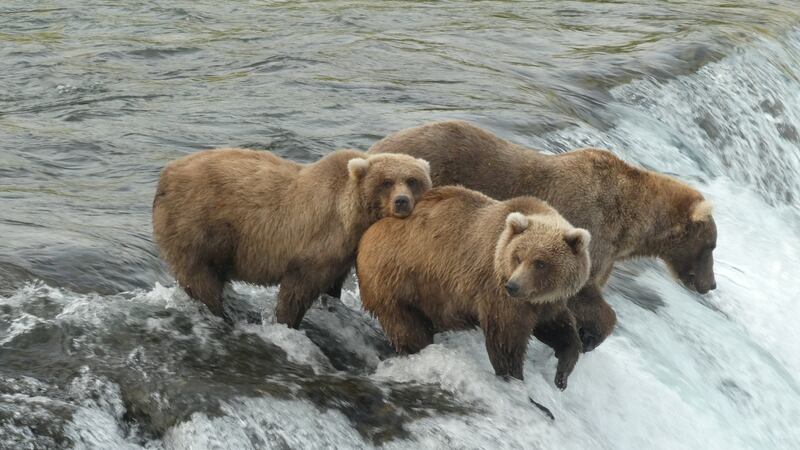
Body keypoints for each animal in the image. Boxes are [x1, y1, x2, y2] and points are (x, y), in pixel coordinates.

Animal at [154, 148, 434, 326]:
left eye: (412, 180)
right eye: (387, 182)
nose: (401, 201)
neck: (352, 217)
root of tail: (166, 174)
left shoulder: (342, 252)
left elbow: (332, 284)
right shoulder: (316, 242)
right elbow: (298, 288)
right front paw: (287, 321)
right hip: (198, 224)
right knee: (200, 276)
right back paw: (220, 312)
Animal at [360, 185, 592, 388]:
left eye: (540, 263)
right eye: (518, 257)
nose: (513, 286)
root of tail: (369, 233)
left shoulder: (545, 302)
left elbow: (558, 328)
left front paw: (562, 374)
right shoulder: (499, 294)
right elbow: (506, 341)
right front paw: (515, 377)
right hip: (397, 281)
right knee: (407, 328)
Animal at [368, 119, 720, 352]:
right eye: (711, 247)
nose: (711, 284)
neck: (628, 224)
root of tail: (376, 148)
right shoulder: (588, 226)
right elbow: (583, 294)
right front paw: (590, 336)